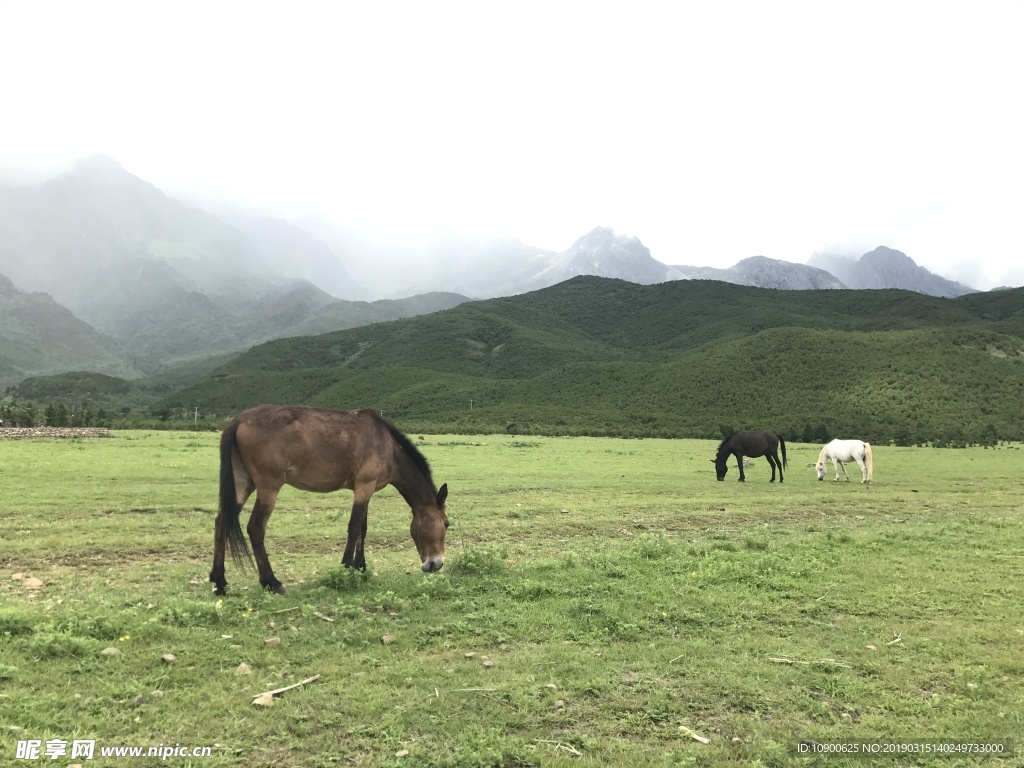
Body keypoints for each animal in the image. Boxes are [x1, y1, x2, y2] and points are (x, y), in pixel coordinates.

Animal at [208, 405, 448, 598]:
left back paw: (219, 582)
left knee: (222, 523)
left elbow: (363, 528)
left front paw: (361, 566)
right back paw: (272, 583)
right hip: (269, 487)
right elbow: (354, 527)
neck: (386, 445)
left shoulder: (365, 490)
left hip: (243, 483)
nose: (436, 564)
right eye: (447, 524)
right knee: (255, 527)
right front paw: (347, 568)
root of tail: (239, 420)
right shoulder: (364, 487)